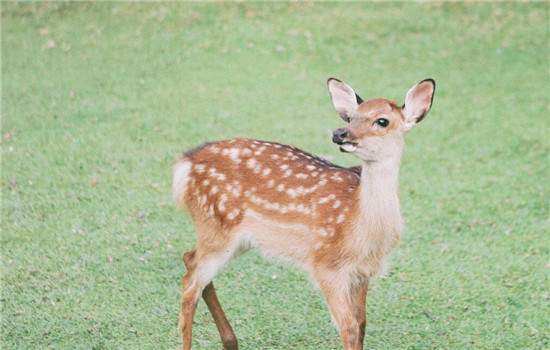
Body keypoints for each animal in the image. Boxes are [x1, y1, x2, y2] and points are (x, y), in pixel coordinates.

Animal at [172, 78, 436, 348]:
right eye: (351, 117)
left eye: (382, 121)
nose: (339, 133)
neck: (360, 227)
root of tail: (186, 163)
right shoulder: (325, 265)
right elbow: (349, 327)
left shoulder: (362, 272)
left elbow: (361, 323)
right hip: (216, 227)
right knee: (190, 285)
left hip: (235, 238)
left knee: (190, 259)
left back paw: (230, 341)